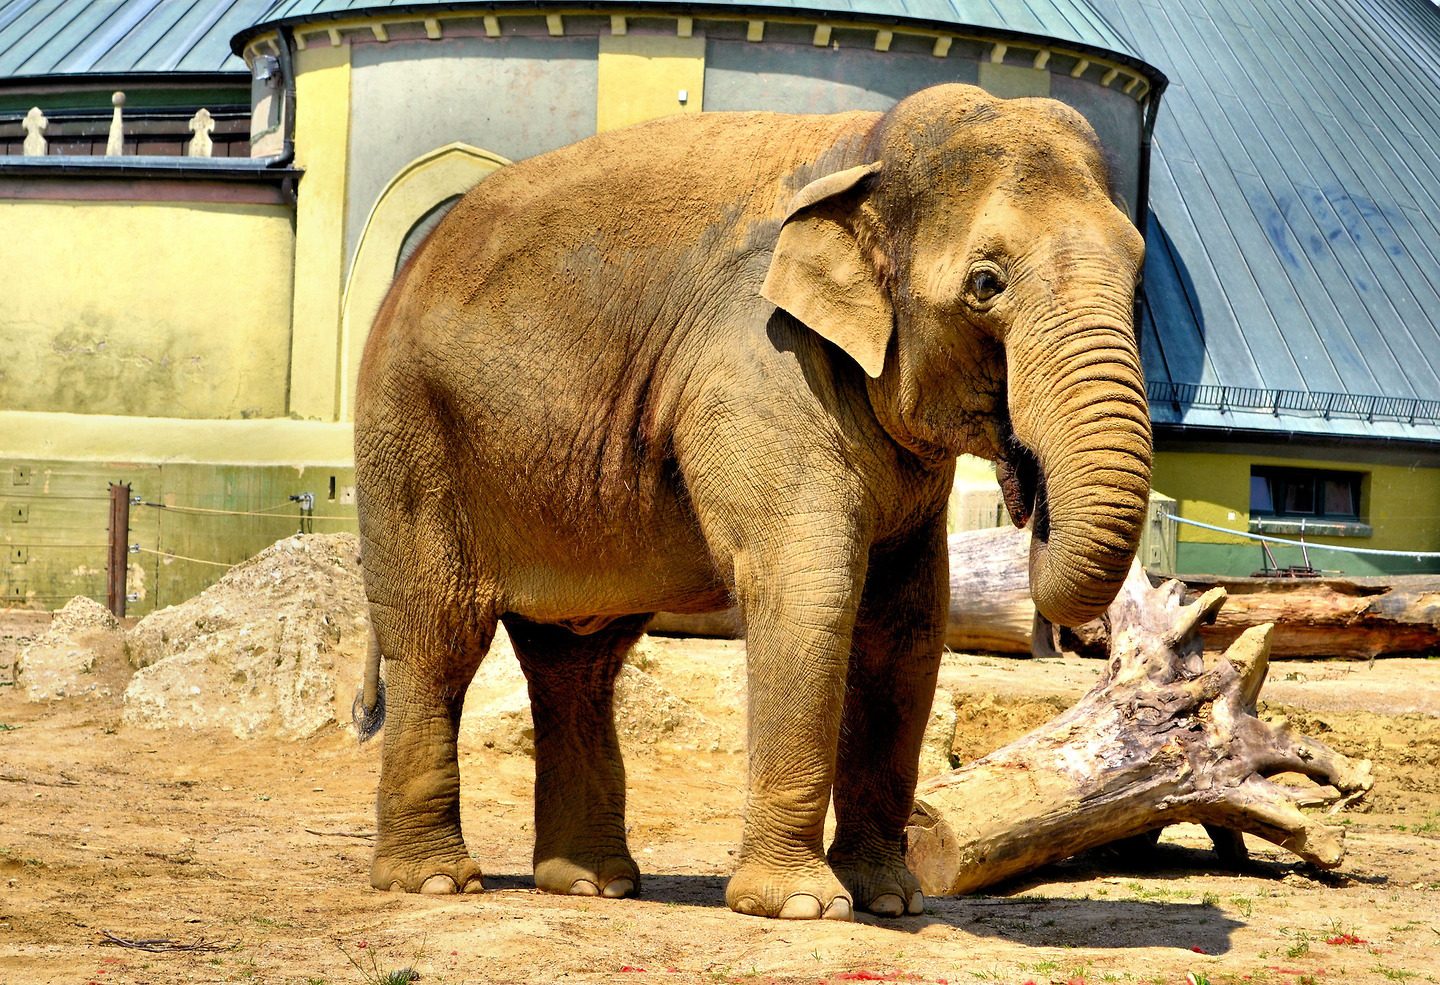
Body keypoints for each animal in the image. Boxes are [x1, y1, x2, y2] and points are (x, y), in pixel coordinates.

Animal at [351, 83, 1152, 921]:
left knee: (577, 659)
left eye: (1138, 280)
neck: (867, 151)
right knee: (438, 638)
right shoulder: (757, 356)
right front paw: (803, 905)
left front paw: (889, 900)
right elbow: (808, 587)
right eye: (986, 284)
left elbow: (908, 621)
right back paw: (436, 880)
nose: (1028, 488)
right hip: (411, 438)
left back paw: (595, 883)